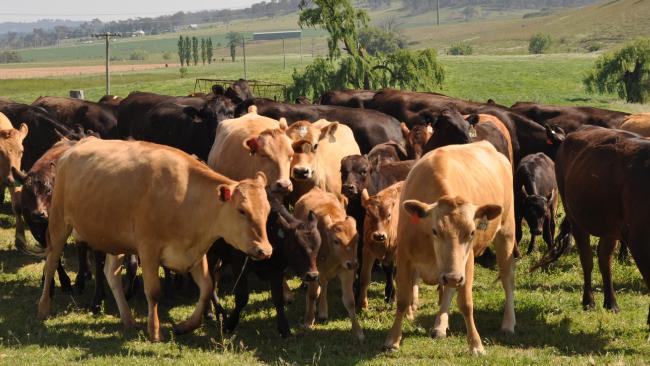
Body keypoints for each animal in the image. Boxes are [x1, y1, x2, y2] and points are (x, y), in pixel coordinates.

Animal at [35, 139, 270, 342]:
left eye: (267, 211)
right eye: (242, 210)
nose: (265, 251)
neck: (187, 197)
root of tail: (74, 148)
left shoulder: (194, 252)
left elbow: (206, 288)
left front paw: (185, 326)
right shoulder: (148, 250)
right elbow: (154, 292)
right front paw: (155, 332)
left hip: (114, 239)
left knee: (111, 274)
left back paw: (128, 319)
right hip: (59, 223)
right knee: (51, 263)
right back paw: (44, 308)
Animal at [292, 187, 362, 342]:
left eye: (357, 239)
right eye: (336, 241)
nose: (353, 264)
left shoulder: (347, 271)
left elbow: (350, 301)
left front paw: (358, 332)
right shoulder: (314, 271)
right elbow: (312, 294)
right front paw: (308, 321)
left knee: (323, 286)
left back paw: (323, 311)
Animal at [382, 140, 512, 354]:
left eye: (472, 232)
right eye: (435, 231)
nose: (453, 276)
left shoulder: (467, 262)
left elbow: (466, 303)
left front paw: (476, 344)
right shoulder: (404, 257)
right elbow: (402, 300)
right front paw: (393, 339)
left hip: (506, 234)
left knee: (508, 280)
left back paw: (509, 323)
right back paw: (440, 325)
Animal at [548, 125, 648, 324]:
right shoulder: (639, 242)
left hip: (610, 227)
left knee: (604, 260)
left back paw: (611, 303)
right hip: (575, 217)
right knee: (587, 260)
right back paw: (589, 301)